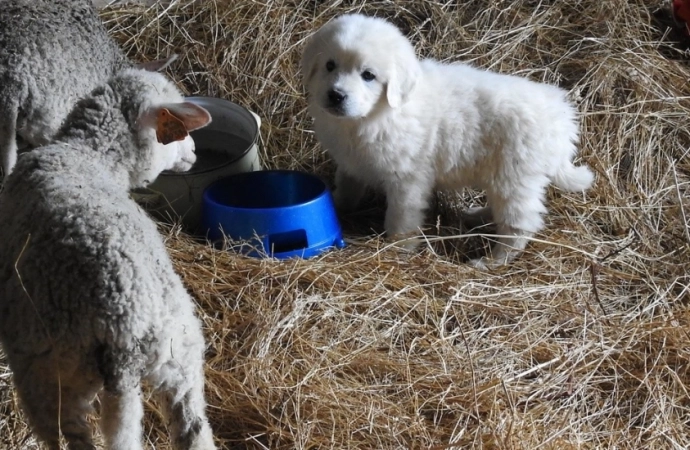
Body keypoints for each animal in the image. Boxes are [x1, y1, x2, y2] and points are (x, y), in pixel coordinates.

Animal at [0, 67, 218, 450]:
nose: (193, 152)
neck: (86, 156)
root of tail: (126, 329)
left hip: (47, 376)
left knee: (67, 437)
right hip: (182, 357)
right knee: (194, 429)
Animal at [300, 13, 592, 268]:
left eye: (368, 75)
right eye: (330, 65)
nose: (336, 95)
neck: (373, 117)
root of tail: (562, 121)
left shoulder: (407, 179)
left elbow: (401, 217)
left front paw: (398, 250)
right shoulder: (351, 164)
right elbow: (347, 189)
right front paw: (336, 206)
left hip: (515, 179)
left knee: (519, 226)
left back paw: (491, 261)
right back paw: (476, 216)